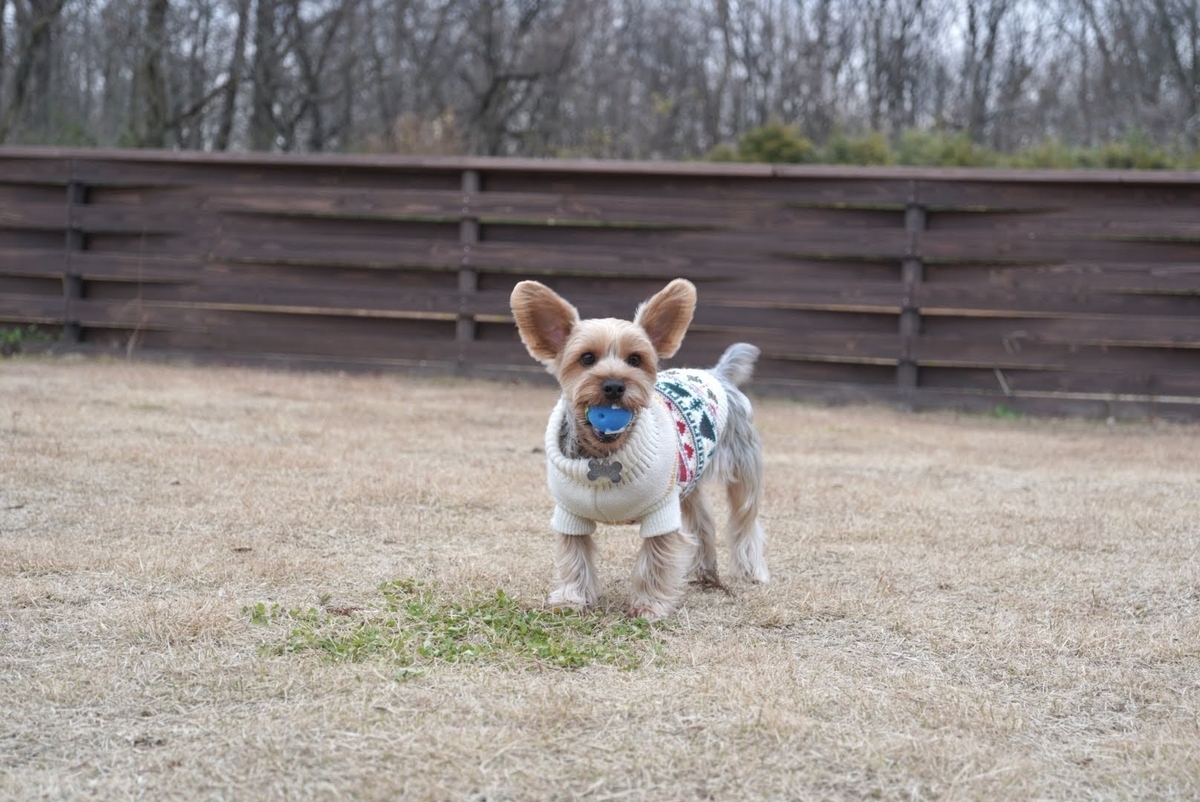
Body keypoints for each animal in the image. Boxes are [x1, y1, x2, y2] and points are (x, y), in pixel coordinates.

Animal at [506, 277, 768, 619]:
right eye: (586, 358)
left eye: (635, 360)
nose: (614, 385)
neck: (604, 456)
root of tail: (716, 373)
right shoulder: (569, 513)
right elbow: (574, 554)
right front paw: (572, 598)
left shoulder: (662, 511)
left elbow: (656, 557)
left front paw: (649, 606)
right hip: (689, 481)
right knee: (703, 524)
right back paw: (702, 571)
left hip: (743, 469)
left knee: (744, 522)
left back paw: (751, 570)